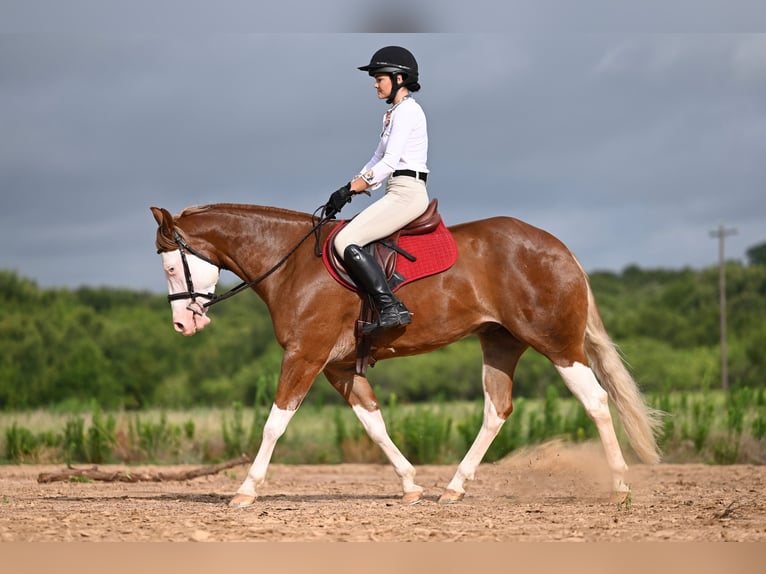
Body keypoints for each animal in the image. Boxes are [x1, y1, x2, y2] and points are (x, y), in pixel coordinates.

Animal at [153, 202, 664, 508]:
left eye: (171, 265)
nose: (183, 325)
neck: (293, 263)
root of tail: (559, 248)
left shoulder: (305, 356)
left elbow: (274, 422)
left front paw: (244, 491)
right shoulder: (339, 367)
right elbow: (374, 424)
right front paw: (411, 484)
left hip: (557, 345)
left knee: (595, 401)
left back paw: (619, 485)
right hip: (500, 342)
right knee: (497, 409)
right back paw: (453, 487)